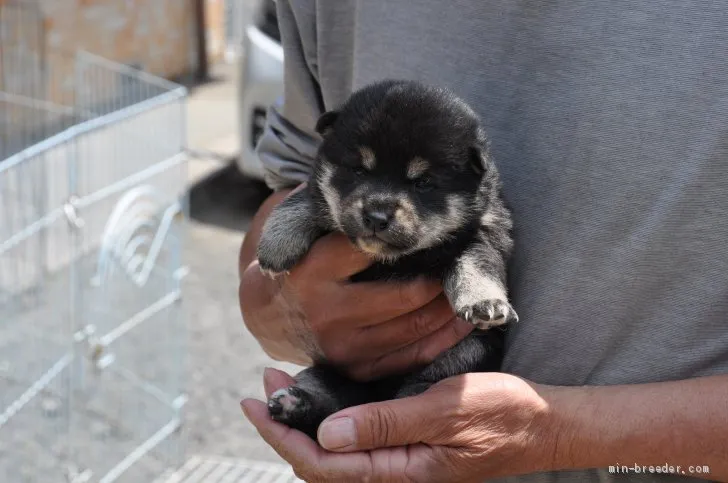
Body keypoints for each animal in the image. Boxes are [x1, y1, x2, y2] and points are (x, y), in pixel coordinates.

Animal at [256, 80, 516, 442]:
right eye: (358, 170)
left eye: (423, 183)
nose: (376, 216)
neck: (397, 259)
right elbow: (306, 200)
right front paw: (277, 241)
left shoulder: (481, 232)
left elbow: (477, 264)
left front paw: (484, 303)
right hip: (331, 371)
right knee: (333, 393)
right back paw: (295, 403)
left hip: (466, 352)